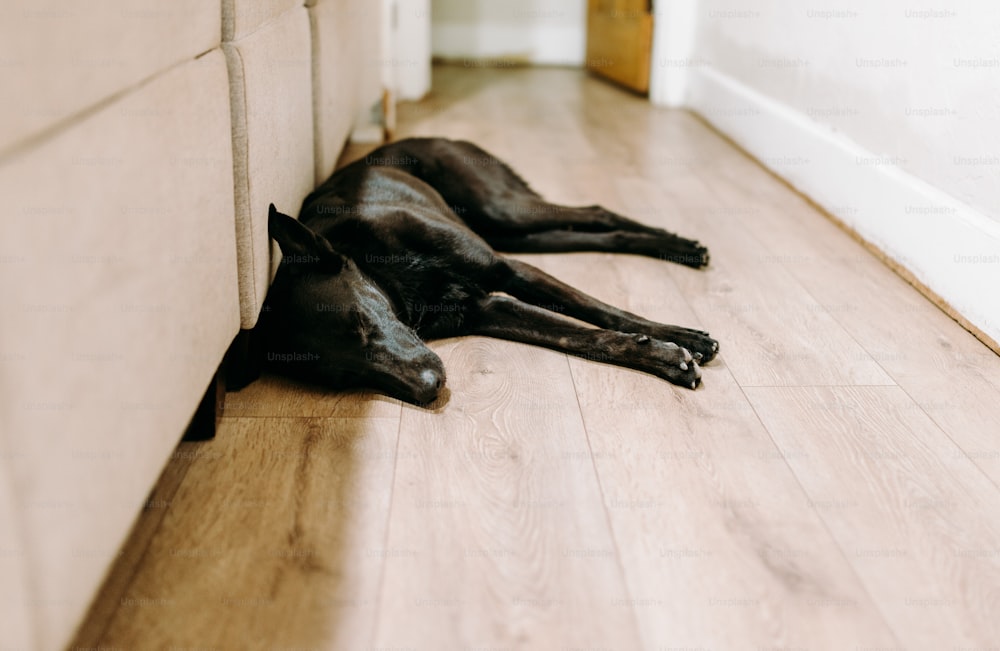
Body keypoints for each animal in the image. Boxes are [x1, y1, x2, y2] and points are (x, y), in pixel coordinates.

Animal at [264, 138, 720, 404]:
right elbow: (582, 336)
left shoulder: (507, 271)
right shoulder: (489, 308)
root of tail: (443, 137)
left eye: (361, 323)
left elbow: (602, 312)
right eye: (346, 376)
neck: (378, 265)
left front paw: (682, 338)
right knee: (592, 232)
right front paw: (661, 356)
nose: (430, 390)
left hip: (503, 210)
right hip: (518, 234)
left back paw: (679, 246)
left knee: (596, 212)